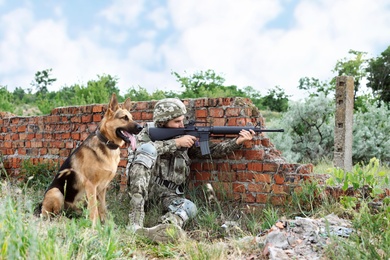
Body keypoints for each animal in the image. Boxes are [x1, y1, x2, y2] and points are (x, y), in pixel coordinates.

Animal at [39, 94, 142, 225]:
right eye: (124, 118)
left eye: (132, 117)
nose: (141, 127)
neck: (106, 143)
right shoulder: (91, 186)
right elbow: (94, 209)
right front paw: (95, 225)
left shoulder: (102, 189)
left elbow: (102, 208)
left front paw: (107, 224)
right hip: (56, 192)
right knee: (53, 215)